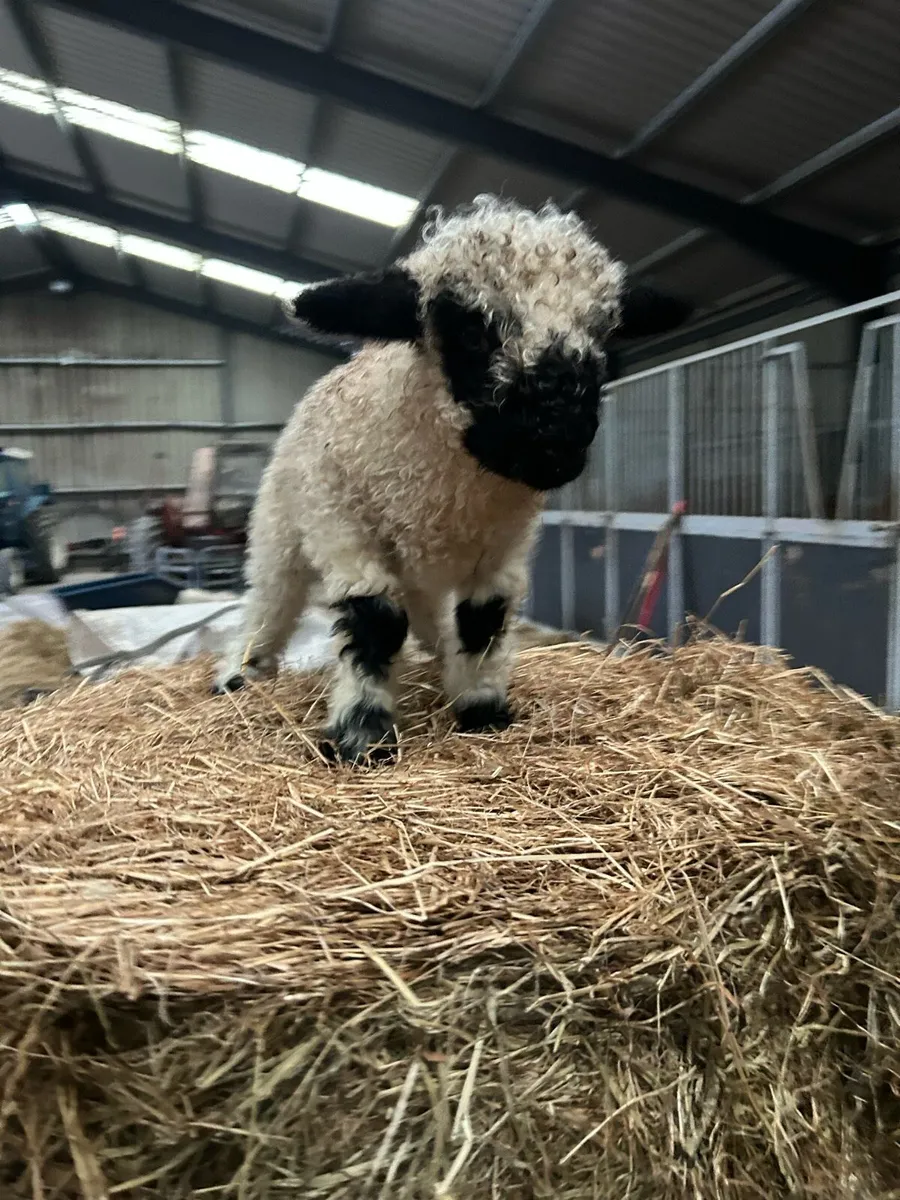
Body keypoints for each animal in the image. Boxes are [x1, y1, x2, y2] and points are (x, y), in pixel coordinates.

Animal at [213, 195, 690, 764]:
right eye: (468, 330)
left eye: (602, 335)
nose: (556, 444)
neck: (453, 488)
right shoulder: (345, 526)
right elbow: (375, 620)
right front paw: (362, 731)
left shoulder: (502, 547)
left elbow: (482, 620)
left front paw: (481, 707)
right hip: (284, 525)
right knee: (270, 598)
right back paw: (239, 673)